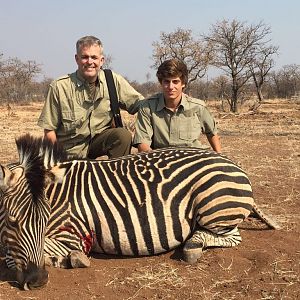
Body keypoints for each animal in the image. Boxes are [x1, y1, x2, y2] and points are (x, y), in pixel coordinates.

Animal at [0, 134, 278, 288]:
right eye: (13, 222)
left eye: (45, 220)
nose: (37, 281)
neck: (58, 194)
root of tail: (230, 161)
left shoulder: (72, 234)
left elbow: (11, 255)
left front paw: (70, 259)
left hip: (214, 206)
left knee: (230, 236)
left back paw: (192, 246)